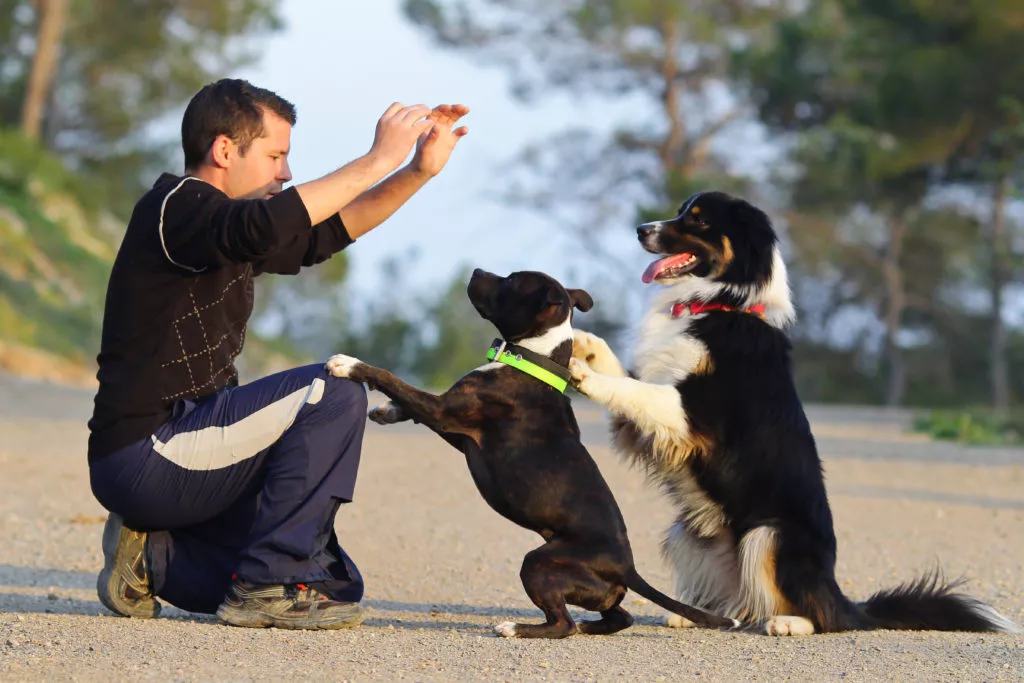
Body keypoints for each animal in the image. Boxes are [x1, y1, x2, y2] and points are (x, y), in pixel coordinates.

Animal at [569, 191, 1015, 634]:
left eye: (698, 219)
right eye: (681, 211)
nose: (640, 230)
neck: (720, 304)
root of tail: (841, 596)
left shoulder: (695, 413)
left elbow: (633, 388)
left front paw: (584, 374)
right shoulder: (646, 416)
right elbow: (625, 377)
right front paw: (585, 344)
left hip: (771, 535)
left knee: (820, 617)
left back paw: (788, 623)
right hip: (688, 531)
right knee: (742, 605)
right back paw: (695, 614)